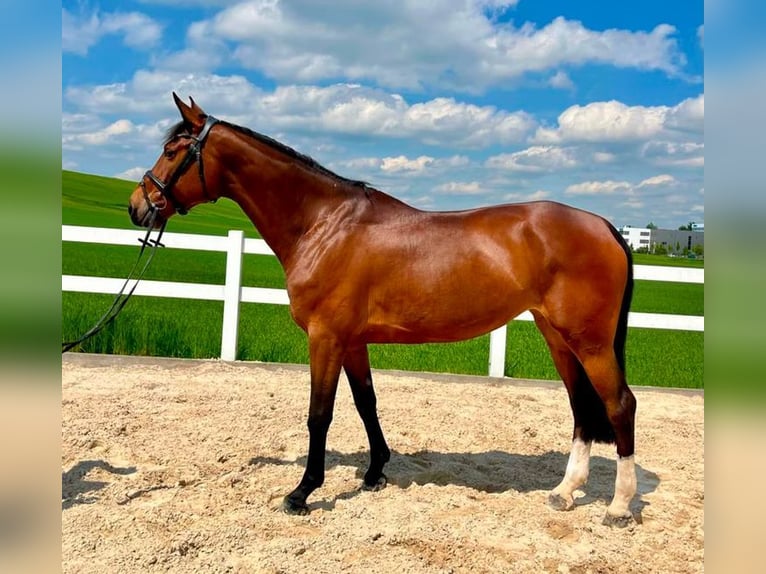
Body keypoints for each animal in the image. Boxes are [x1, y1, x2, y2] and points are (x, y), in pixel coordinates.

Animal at [128, 94, 637, 527]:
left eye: (173, 150)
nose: (137, 206)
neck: (324, 224)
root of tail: (605, 226)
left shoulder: (326, 337)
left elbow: (320, 413)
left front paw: (302, 492)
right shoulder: (353, 341)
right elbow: (366, 402)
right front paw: (375, 473)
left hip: (589, 341)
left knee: (619, 404)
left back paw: (617, 506)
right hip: (558, 337)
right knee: (581, 408)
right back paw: (565, 492)